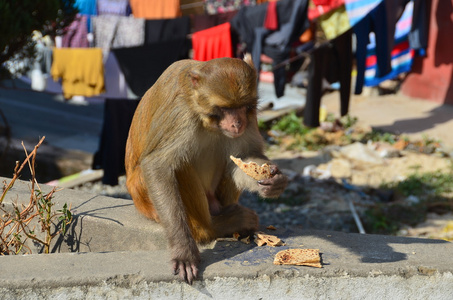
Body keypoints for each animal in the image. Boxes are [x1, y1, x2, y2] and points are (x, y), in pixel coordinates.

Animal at [123, 54, 286, 284]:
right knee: (179, 165)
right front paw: (183, 249)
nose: (237, 123)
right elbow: (158, 165)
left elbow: (243, 157)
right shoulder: (181, 114)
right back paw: (216, 227)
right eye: (225, 109)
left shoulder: (251, 113)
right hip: (145, 200)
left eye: (242, 106)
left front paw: (274, 181)